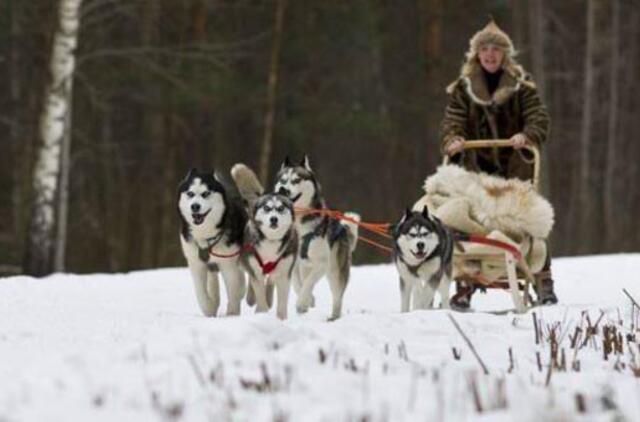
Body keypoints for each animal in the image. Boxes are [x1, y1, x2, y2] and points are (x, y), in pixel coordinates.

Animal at [178, 168, 248, 316]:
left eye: (205, 193)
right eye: (190, 193)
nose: (195, 206)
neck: (205, 235)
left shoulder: (229, 263)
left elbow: (233, 290)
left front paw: (232, 313)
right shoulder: (196, 263)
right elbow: (201, 292)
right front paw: (209, 308)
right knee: (213, 280)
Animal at [231, 163, 298, 318]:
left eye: (281, 208)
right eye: (267, 208)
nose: (274, 219)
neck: (271, 241)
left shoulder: (284, 272)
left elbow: (282, 302)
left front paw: (281, 319)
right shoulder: (254, 267)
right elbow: (258, 290)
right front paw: (262, 312)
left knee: (271, 281)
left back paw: (269, 298)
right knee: (253, 283)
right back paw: (252, 298)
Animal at [272, 155, 358, 320]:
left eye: (296, 180)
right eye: (283, 180)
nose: (282, 189)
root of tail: (343, 229)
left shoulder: (321, 263)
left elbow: (308, 283)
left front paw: (302, 303)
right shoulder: (293, 263)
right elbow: (298, 284)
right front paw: (308, 300)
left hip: (335, 272)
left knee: (337, 297)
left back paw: (334, 317)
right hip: (307, 266)